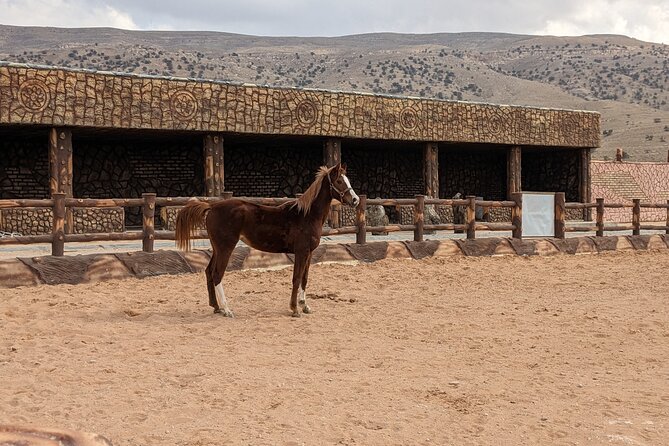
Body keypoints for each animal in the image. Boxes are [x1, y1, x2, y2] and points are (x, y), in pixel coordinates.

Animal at [175, 163, 360, 317]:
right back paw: (227, 309)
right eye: (339, 181)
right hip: (225, 248)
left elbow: (304, 278)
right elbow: (296, 278)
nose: (355, 200)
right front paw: (294, 309)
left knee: (208, 272)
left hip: (217, 248)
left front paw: (305, 306)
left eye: (348, 180)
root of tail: (211, 206)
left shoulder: (309, 253)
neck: (306, 215)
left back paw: (216, 307)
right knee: (217, 274)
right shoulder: (301, 252)